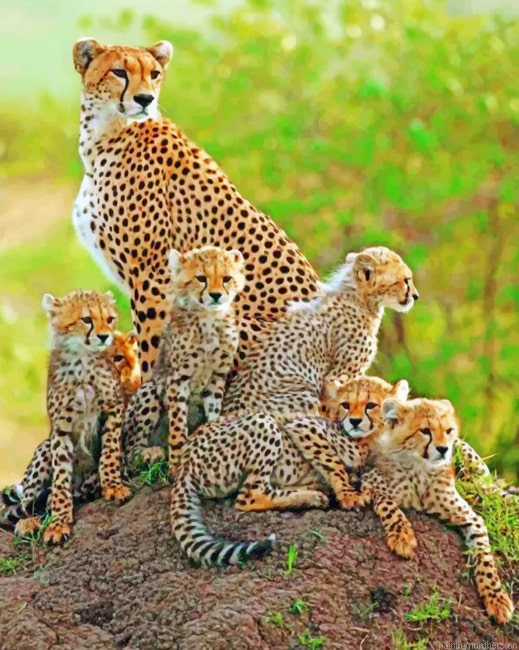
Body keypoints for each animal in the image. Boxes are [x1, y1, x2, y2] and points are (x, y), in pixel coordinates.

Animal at [6, 291, 132, 545]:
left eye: (110, 319)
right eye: (86, 319)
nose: (104, 336)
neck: (83, 360)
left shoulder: (113, 409)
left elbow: (110, 452)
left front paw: (113, 486)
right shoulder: (60, 429)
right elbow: (61, 478)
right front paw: (59, 522)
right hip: (44, 451)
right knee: (26, 505)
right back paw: (29, 522)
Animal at [72, 38, 320, 382]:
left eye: (154, 73)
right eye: (119, 72)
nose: (146, 98)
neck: (105, 133)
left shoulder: (155, 276)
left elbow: (151, 348)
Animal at [124, 245, 245, 471]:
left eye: (226, 278)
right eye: (201, 278)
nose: (216, 295)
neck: (209, 318)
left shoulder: (217, 376)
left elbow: (213, 412)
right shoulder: (178, 378)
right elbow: (178, 424)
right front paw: (176, 463)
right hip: (149, 390)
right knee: (130, 451)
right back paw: (150, 453)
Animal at [362, 396, 514, 624]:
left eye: (449, 430)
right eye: (425, 431)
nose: (444, 449)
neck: (421, 468)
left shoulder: (472, 518)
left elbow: (485, 558)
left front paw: (497, 598)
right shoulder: (366, 484)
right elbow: (389, 505)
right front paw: (402, 537)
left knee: (487, 487)